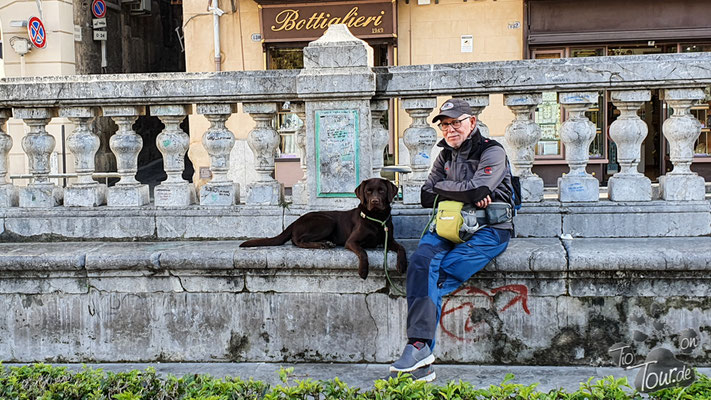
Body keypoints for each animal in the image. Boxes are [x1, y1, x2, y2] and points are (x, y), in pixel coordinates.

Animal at [239, 180, 406, 280]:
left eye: (382, 191)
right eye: (368, 192)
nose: (375, 201)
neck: (376, 218)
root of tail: (296, 221)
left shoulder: (389, 239)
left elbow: (401, 248)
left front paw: (402, 265)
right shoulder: (351, 241)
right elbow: (363, 252)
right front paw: (363, 271)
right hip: (327, 221)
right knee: (297, 240)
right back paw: (323, 244)